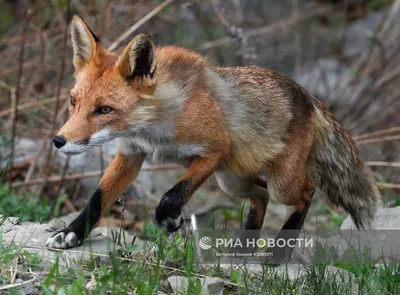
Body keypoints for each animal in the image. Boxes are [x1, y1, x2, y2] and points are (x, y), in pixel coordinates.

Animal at [46, 16, 378, 251]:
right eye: (73, 102)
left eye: (104, 110)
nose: (58, 141)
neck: (156, 128)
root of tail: (310, 98)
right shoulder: (130, 154)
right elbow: (98, 198)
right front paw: (71, 233)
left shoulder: (215, 151)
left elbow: (173, 193)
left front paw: (169, 218)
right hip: (231, 181)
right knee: (260, 196)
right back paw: (245, 248)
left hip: (279, 183)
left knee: (306, 194)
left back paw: (279, 252)